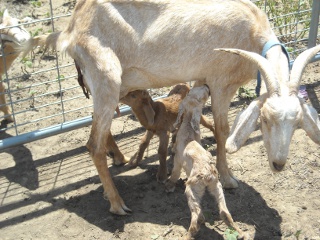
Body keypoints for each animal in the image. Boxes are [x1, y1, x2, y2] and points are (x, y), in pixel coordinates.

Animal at [21, 0, 318, 215]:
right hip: (105, 74)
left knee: (99, 129)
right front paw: (227, 176)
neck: (253, 33)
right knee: (93, 144)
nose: (278, 165)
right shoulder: (221, 81)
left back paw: (118, 159)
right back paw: (117, 204)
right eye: (265, 118)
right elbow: (222, 129)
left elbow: (194, 111)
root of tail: (70, 29)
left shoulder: (202, 79)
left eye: (297, 123)